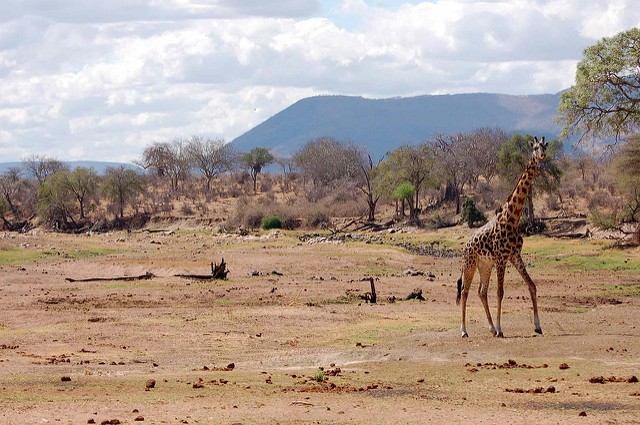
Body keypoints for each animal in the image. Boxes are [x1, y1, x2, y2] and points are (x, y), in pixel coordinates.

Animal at [458, 136, 548, 338]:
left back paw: (490, 328)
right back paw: (464, 330)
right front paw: (501, 329)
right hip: (470, 264)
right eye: (534, 147)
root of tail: (465, 245)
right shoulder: (501, 258)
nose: (542, 156)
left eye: (545, 146)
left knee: (481, 292)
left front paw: (538, 326)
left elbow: (532, 285)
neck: (513, 218)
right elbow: (500, 292)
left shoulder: (515, 256)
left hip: (484, 265)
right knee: (465, 292)